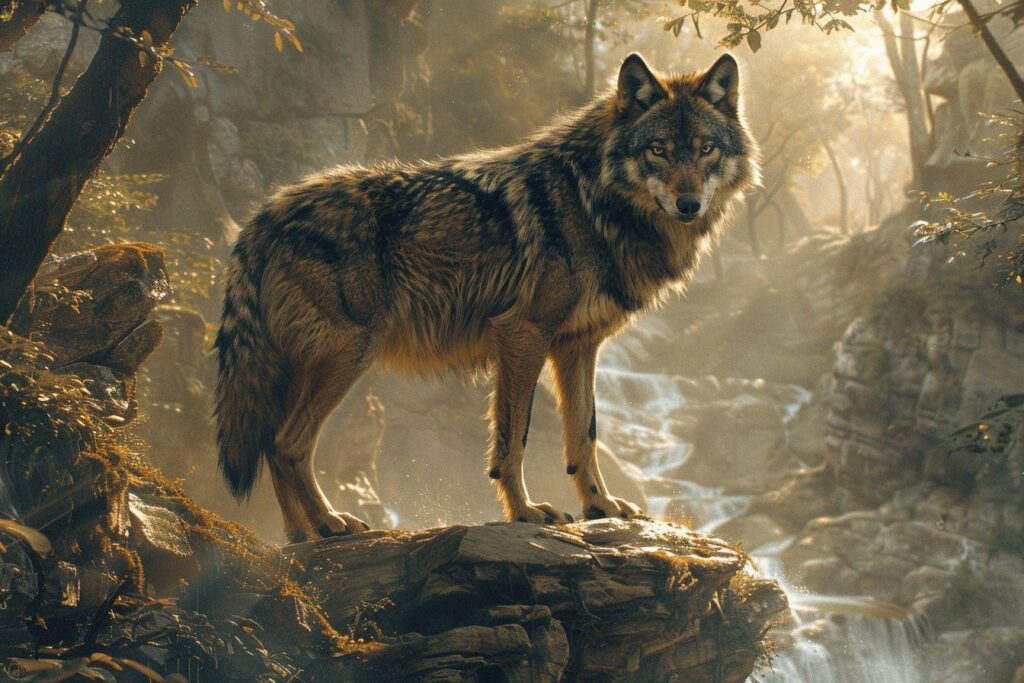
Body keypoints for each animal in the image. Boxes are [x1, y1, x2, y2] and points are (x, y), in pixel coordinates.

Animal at [214, 53, 759, 542]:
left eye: (705, 149)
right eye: (659, 151)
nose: (688, 204)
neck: (592, 201)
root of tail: (263, 216)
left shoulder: (578, 346)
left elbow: (583, 436)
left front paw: (600, 507)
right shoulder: (523, 335)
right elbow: (513, 439)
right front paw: (525, 513)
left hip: (304, 366)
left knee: (272, 445)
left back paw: (299, 535)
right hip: (348, 356)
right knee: (288, 445)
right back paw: (329, 524)